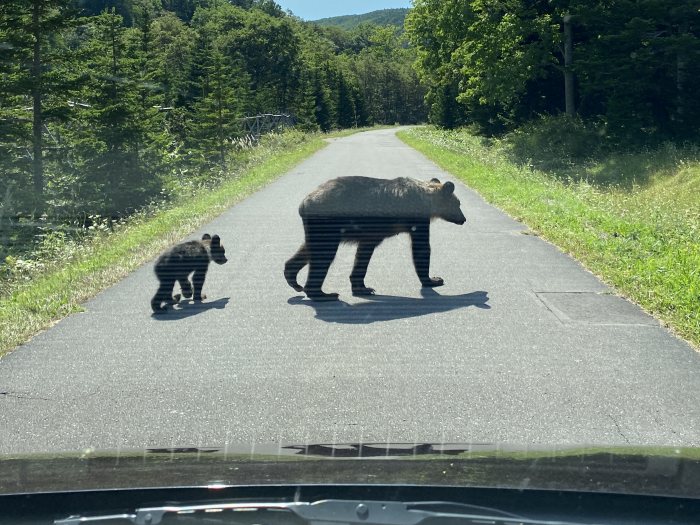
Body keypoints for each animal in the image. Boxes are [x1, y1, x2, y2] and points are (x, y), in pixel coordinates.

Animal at [284, 175, 464, 298]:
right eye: (458, 203)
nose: (464, 219)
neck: (427, 199)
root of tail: (303, 204)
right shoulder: (417, 219)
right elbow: (422, 248)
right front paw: (433, 279)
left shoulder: (370, 234)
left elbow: (363, 254)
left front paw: (362, 287)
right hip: (327, 222)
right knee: (323, 255)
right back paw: (322, 293)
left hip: (318, 227)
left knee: (309, 249)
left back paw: (293, 277)